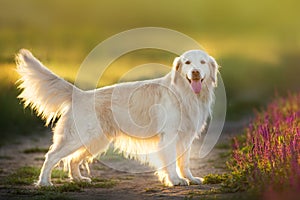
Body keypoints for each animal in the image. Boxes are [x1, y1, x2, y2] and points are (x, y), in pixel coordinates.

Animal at [15, 49, 218, 187]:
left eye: (202, 62)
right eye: (187, 63)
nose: (195, 72)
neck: (185, 93)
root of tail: (80, 94)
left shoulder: (186, 137)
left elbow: (185, 162)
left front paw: (190, 178)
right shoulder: (169, 135)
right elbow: (171, 162)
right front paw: (175, 180)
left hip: (95, 141)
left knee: (73, 160)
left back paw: (79, 179)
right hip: (79, 138)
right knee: (51, 156)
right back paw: (44, 182)